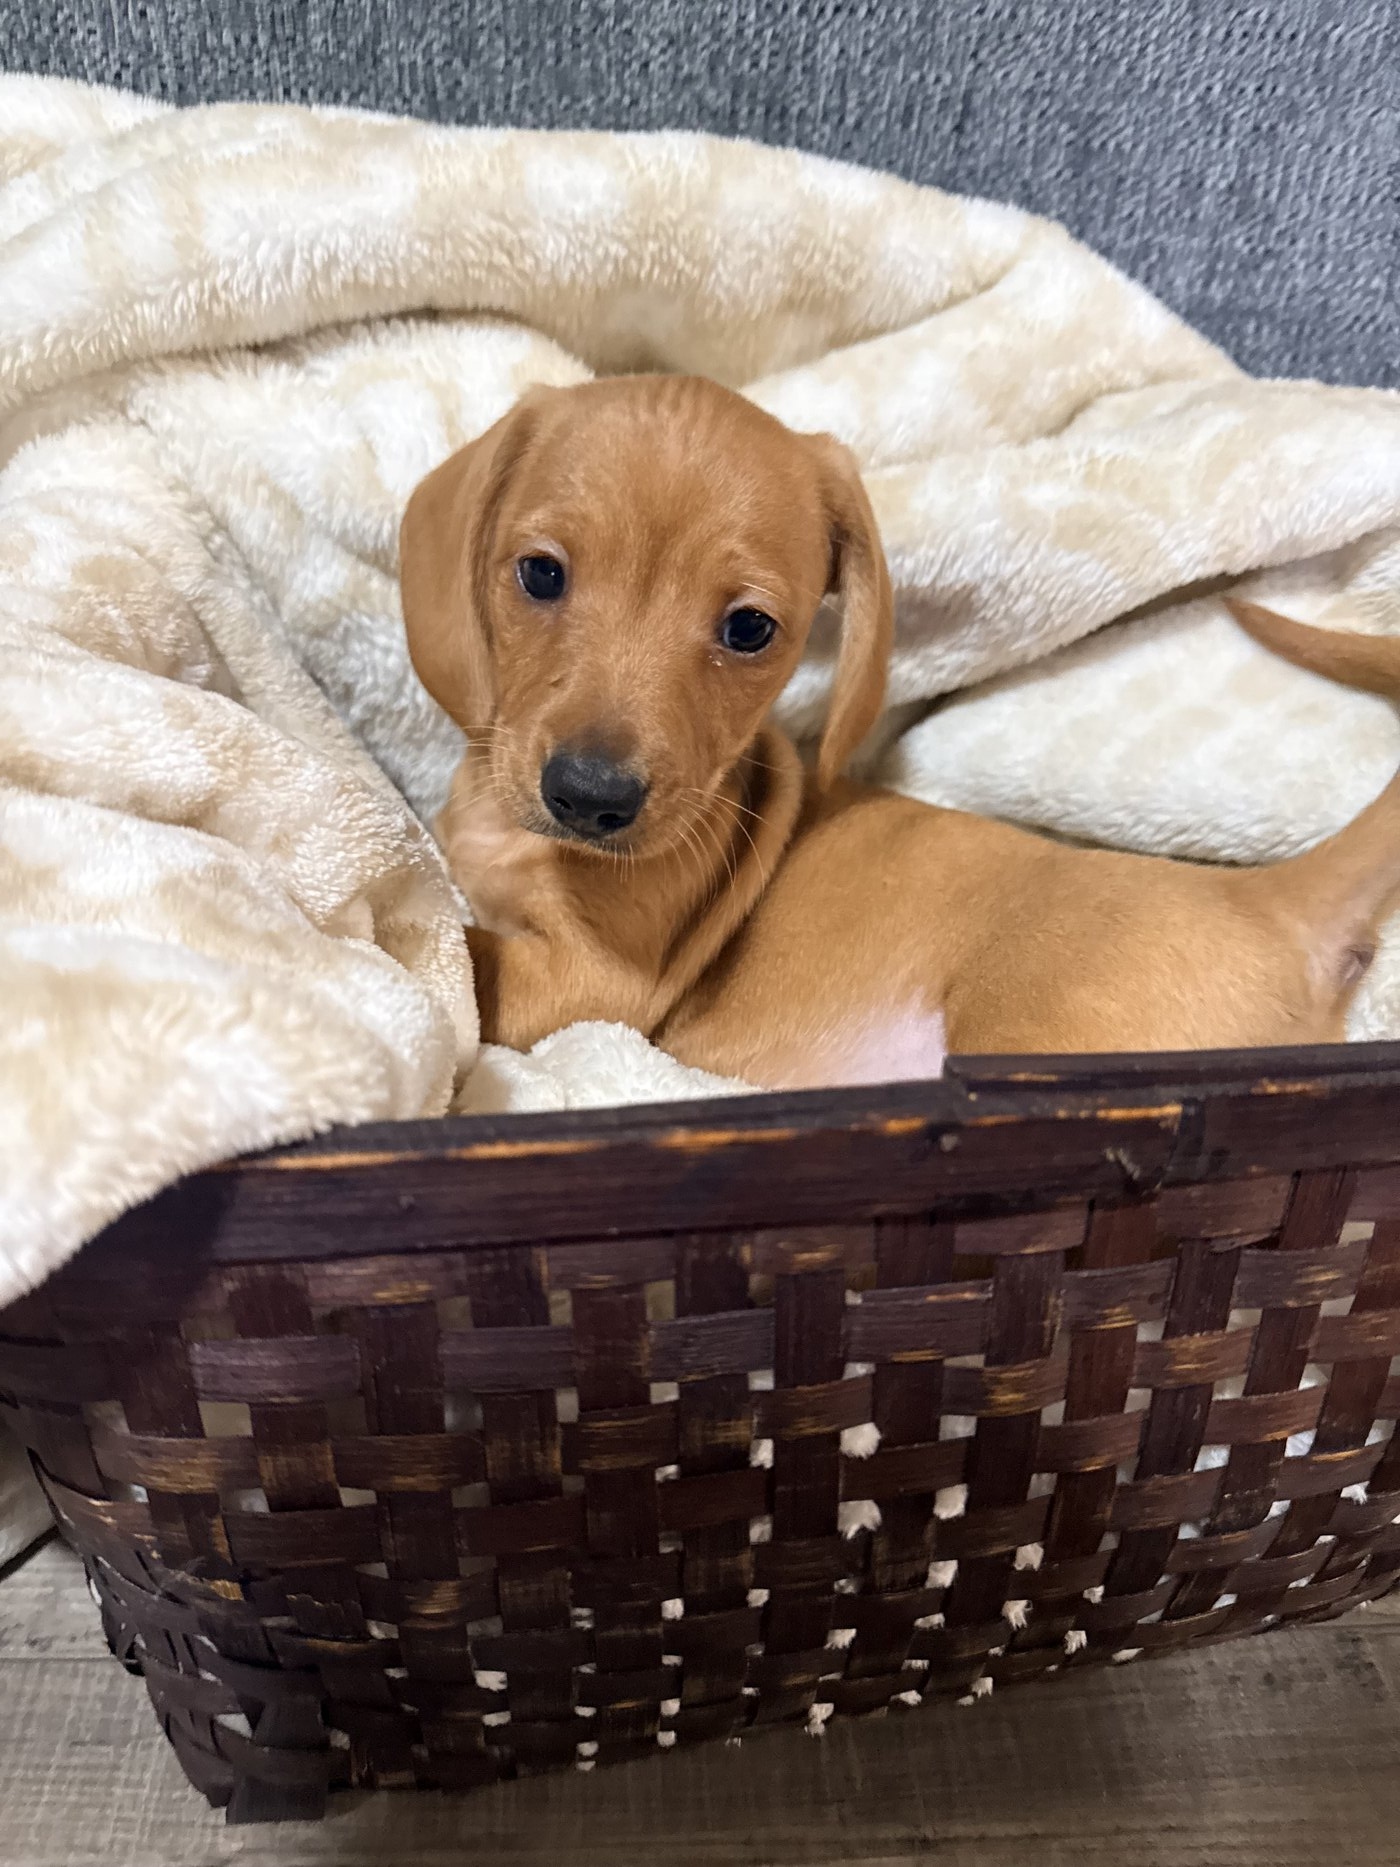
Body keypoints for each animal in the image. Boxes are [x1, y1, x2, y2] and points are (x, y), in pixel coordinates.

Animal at [400, 374, 1400, 1088]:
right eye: (540, 573)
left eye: (749, 628)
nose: (590, 798)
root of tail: (1267, 900)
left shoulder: (596, 983)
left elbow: (473, 959)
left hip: (1035, 1035)